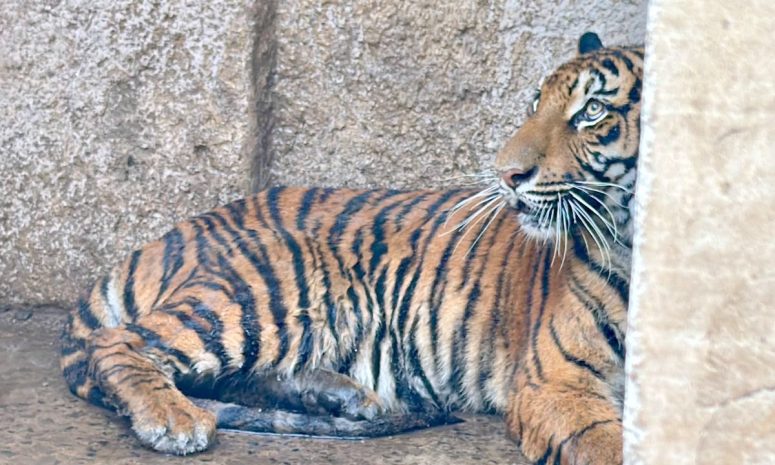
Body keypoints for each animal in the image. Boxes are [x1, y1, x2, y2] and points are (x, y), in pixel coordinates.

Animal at [60, 32, 642, 465]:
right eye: (536, 104)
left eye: (592, 111)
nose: (506, 174)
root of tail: (166, 236)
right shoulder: (556, 381)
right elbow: (604, 444)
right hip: (270, 287)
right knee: (118, 343)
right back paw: (174, 420)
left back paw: (345, 398)